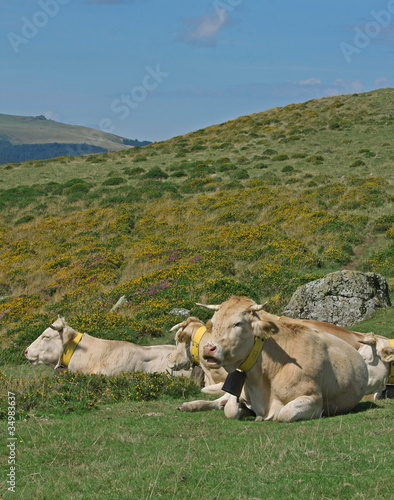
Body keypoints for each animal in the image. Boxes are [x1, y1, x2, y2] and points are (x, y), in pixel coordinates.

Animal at [174, 296, 368, 422]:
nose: (209, 348)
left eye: (238, 323)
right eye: (213, 324)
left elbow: (284, 414)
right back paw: (189, 405)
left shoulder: (314, 399)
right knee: (219, 401)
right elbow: (230, 409)